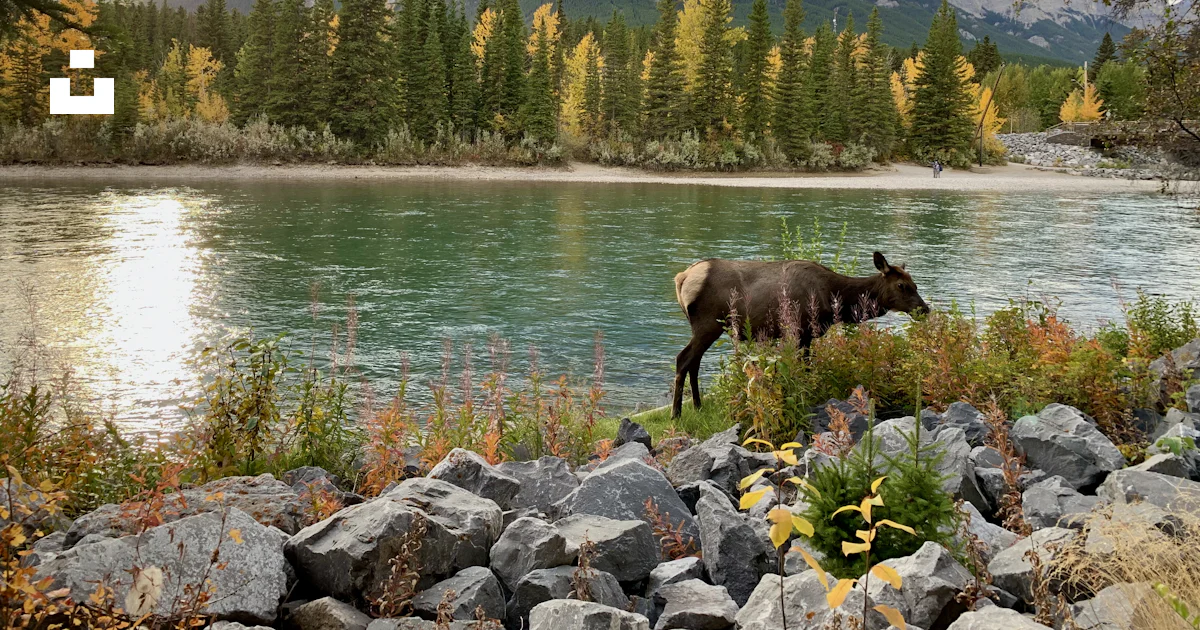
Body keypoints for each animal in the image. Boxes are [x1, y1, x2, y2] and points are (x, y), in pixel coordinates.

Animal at [670, 252, 929, 418]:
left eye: (915, 284)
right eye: (902, 286)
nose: (924, 309)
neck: (834, 298)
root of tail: (681, 278)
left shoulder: (806, 337)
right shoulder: (800, 331)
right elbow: (803, 370)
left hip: (705, 327)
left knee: (694, 362)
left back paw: (698, 406)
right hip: (708, 324)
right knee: (683, 359)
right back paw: (676, 413)